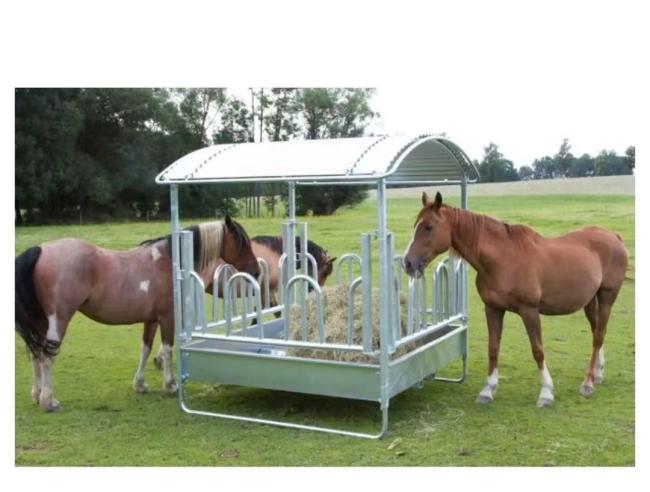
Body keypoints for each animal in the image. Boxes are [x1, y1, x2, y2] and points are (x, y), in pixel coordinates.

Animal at [15, 216, 260, 411]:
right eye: (242, 242)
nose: (256, 271)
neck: (171, 262)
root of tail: (40, 249)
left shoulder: (151, 319)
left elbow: (145, 348)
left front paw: (140, 384)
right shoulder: (167, 318)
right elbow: (168, 349)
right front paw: (170, 385)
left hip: (41, 322)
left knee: (36, 354)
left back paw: (37, 395)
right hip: (59, 319)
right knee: (47, 356)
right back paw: (49, 401)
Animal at [402, 192, 628, 407]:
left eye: (428, 227)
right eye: (415, 225)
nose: (407, 263)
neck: (503, 258)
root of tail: (614, 237)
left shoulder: (529, 311)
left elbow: (538, 350)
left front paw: (546, 393)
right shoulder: (493, 308)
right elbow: (493, 348)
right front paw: (488, 390)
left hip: (607, 296)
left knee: (598, 335)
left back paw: (588, 383)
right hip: (590, 301)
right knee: (597, 332)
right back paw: (598, 374)